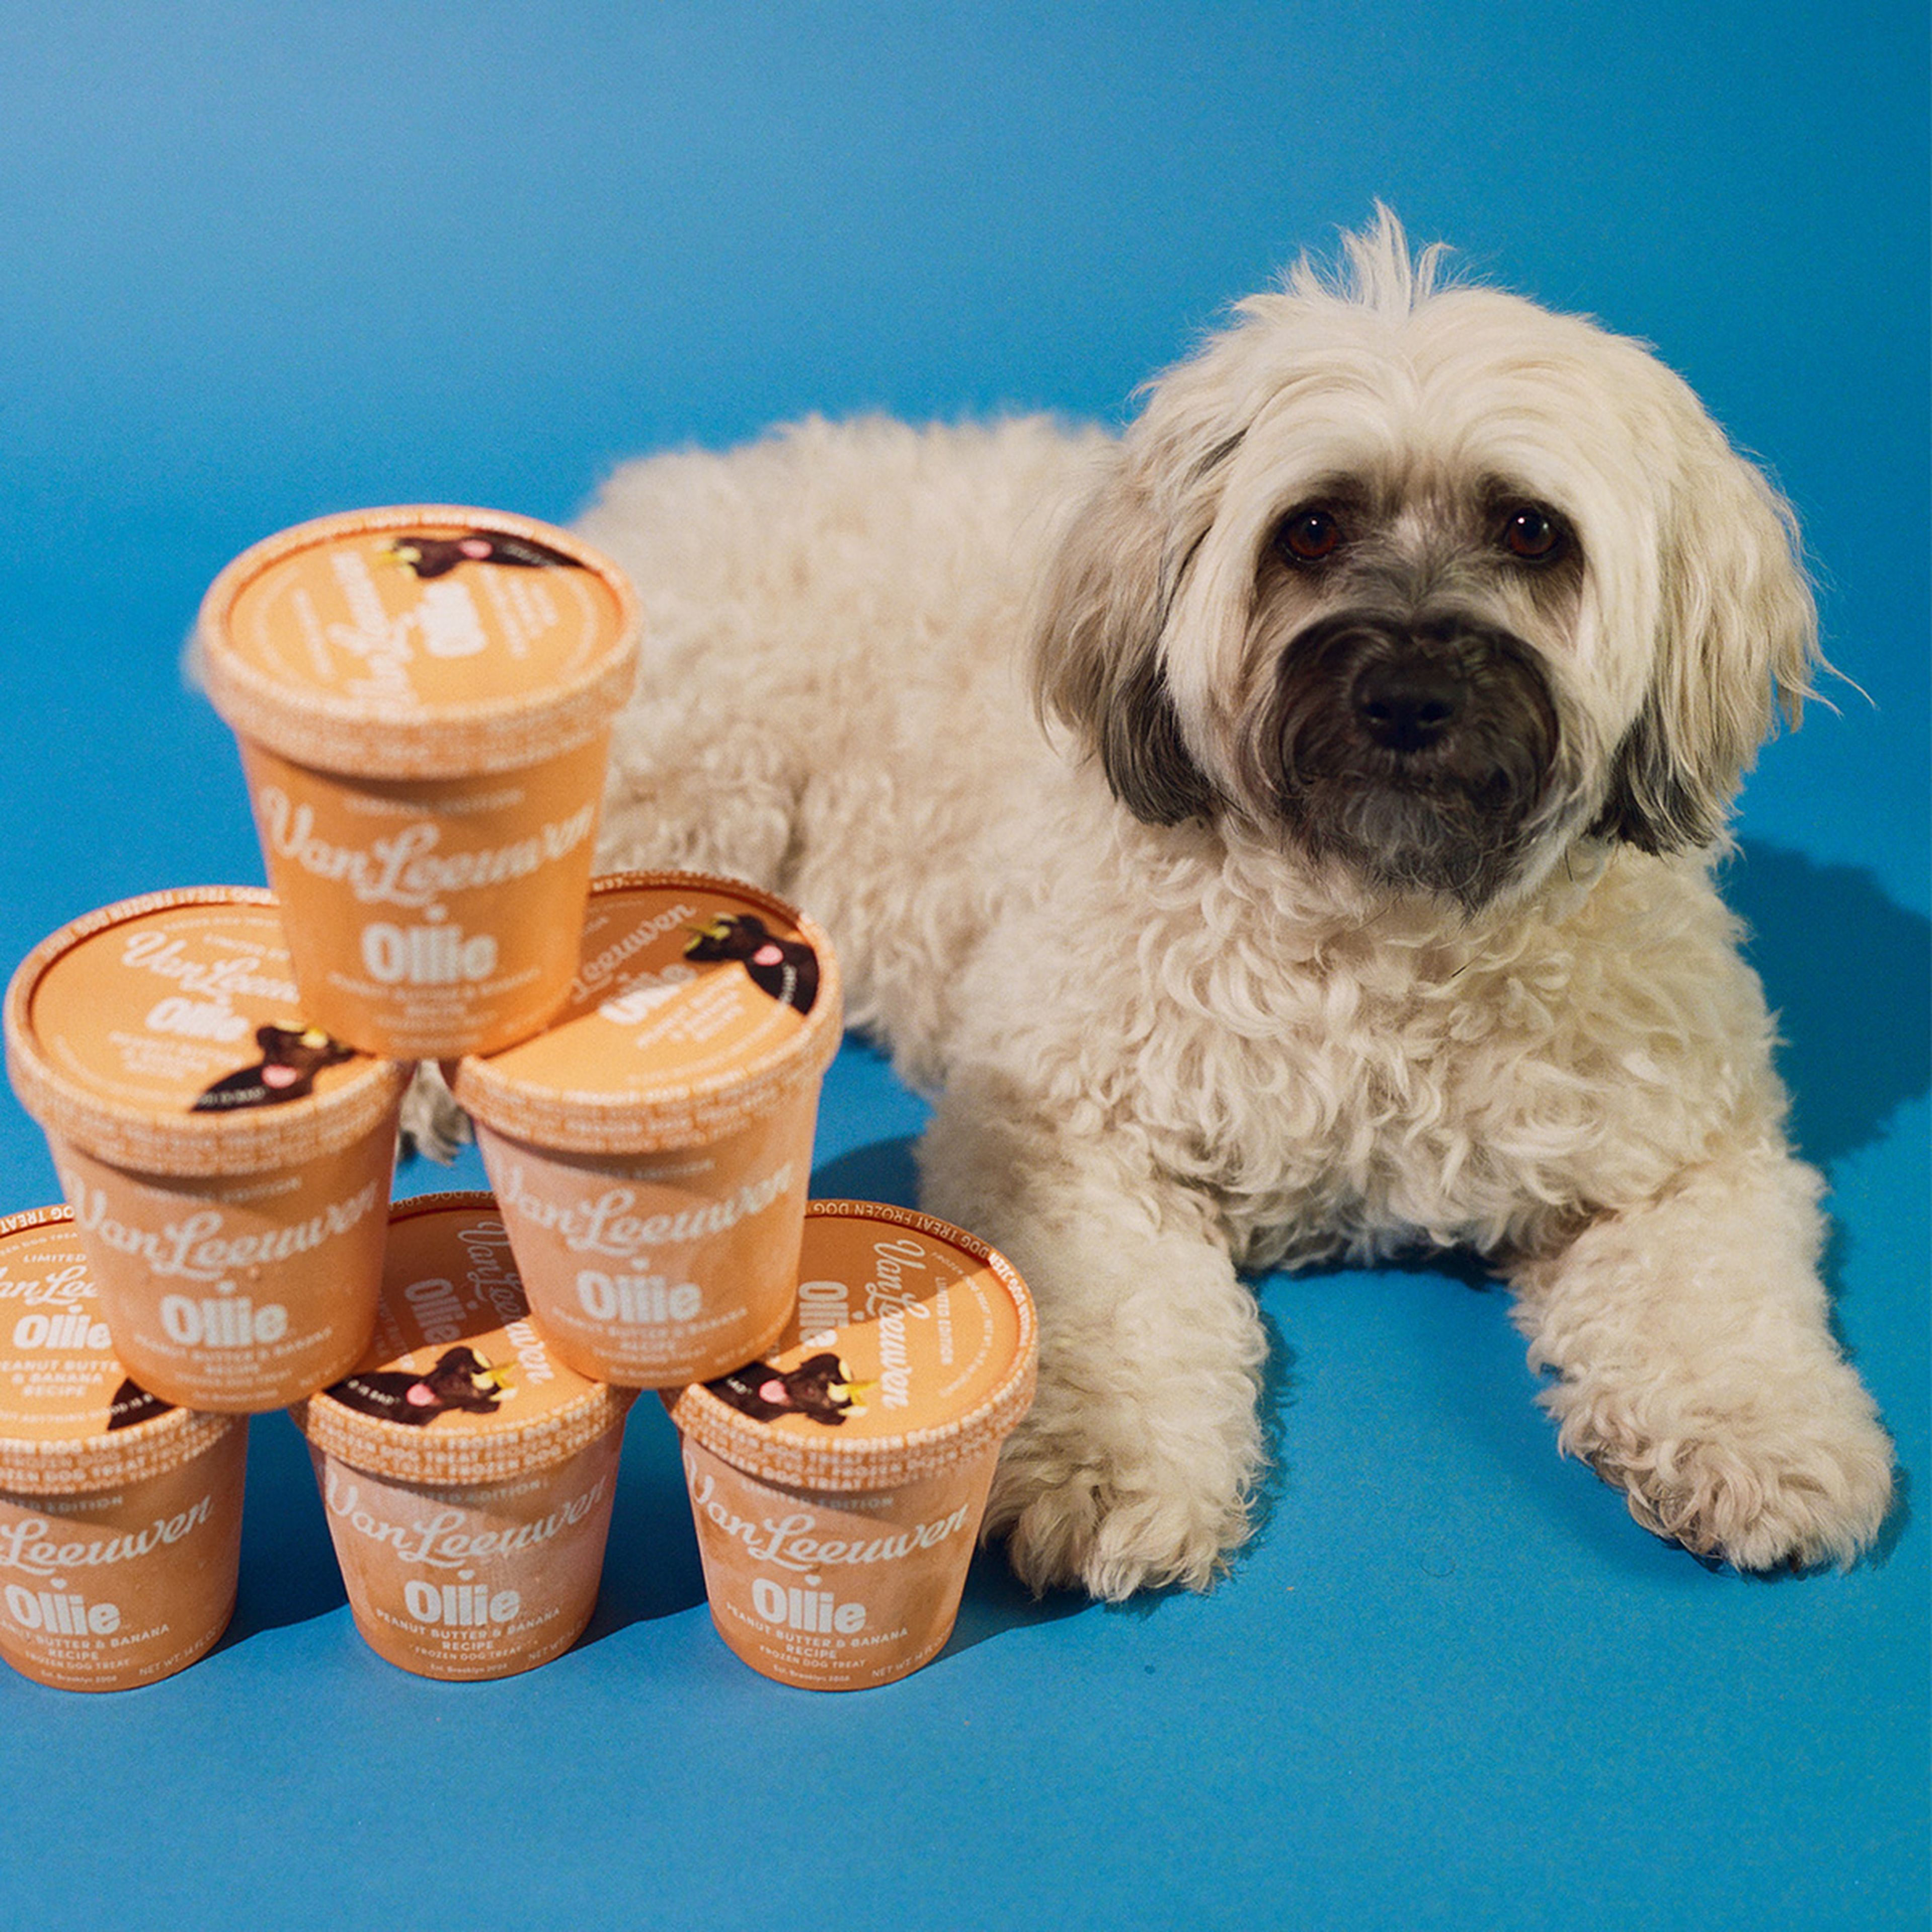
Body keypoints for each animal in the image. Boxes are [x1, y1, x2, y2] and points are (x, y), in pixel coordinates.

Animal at [431, 211, 1893, 1599]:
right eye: (1311, 529)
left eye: (1532, 531)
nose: (1407, 695)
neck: (1389, 917)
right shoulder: (1060, 1131)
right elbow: (1114, 1316)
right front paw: (1106, 1465)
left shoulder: (1682, 1151)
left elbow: (1712, 1297)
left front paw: (1759, 1434)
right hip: (681, 791)